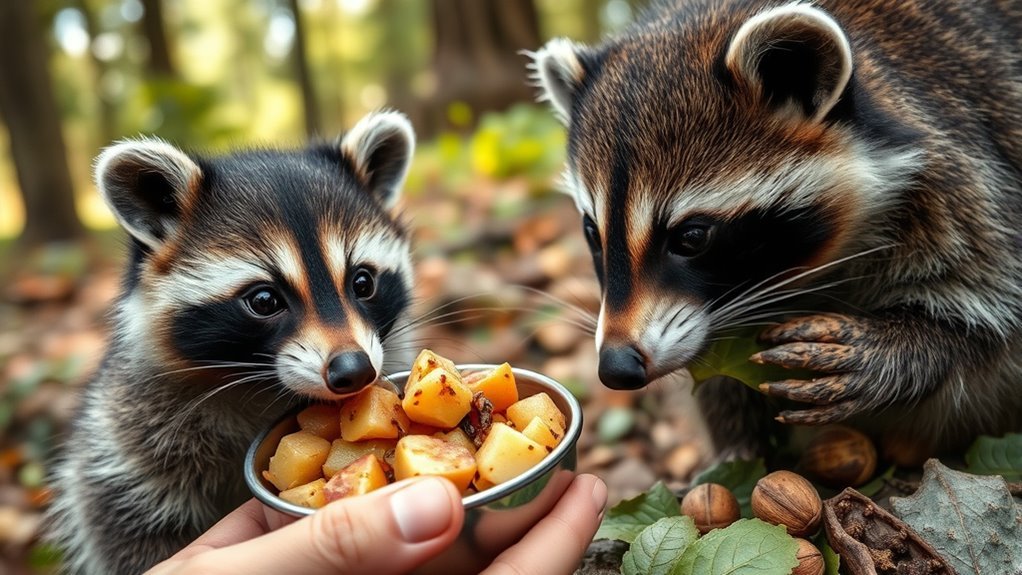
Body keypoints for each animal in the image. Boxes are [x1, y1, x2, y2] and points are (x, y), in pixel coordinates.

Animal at [46, 111, 417, 575]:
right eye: (264, 300)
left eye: (363, 282)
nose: (354, 370)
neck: (263, 385)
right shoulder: (126, 444)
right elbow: (128, 532)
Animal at [531, 1, 1022, 464]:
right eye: (592, 231)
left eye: (692, 237)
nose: (616, 367)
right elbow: (716, 374)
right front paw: (738, 445)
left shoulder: (958, 177)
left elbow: (985, 310)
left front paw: (896, 346)